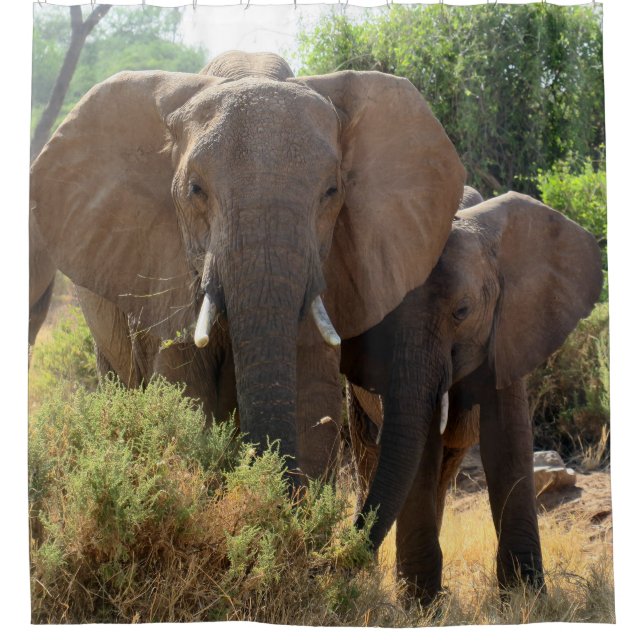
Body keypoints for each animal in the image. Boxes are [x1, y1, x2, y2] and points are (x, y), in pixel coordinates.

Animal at [340, 191, 603, 603]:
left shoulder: (512, 325)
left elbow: (508, 441)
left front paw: (526, 598)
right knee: (370, 457)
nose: (333, 560)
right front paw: (419, 606)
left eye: (462, 311)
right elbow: (423, 448)